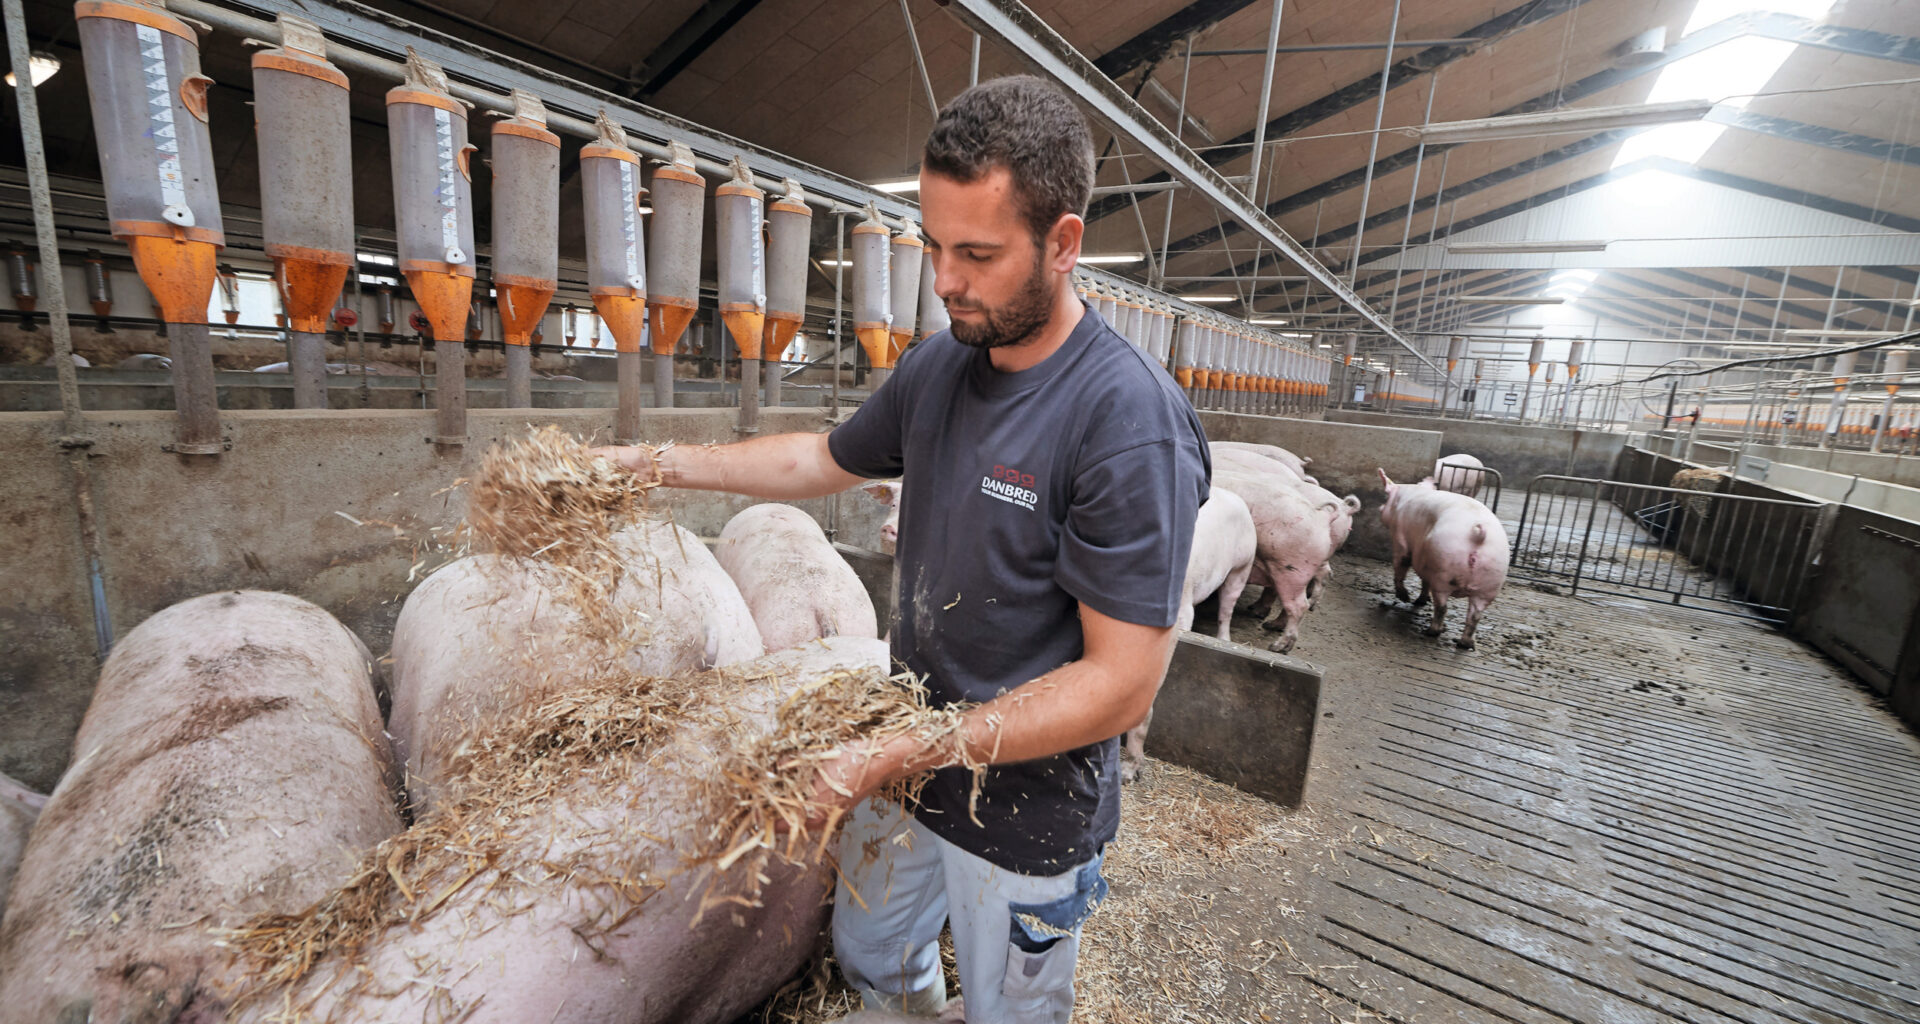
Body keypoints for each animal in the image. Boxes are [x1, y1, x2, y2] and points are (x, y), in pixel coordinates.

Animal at [1122, 489, 1257, 781]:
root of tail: (1235, 496)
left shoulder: (1180, 611)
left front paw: (1129, 773)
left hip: (1244, 564)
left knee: (1227, 606)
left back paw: (1223, 640)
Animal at [1378, 470, 1511, 649]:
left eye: (1386, 497)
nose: (1380, 507)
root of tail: (1478, 534)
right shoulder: (1426, 564)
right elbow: (1424, 581)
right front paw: (1420, 601)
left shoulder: (1399, 538)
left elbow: (1402, 564)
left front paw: (1405, 598)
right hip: (1491, 582)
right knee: (1475, 614)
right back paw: (1465, 644)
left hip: (1443, 571)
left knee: (1442, 607)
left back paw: (1431, 632)